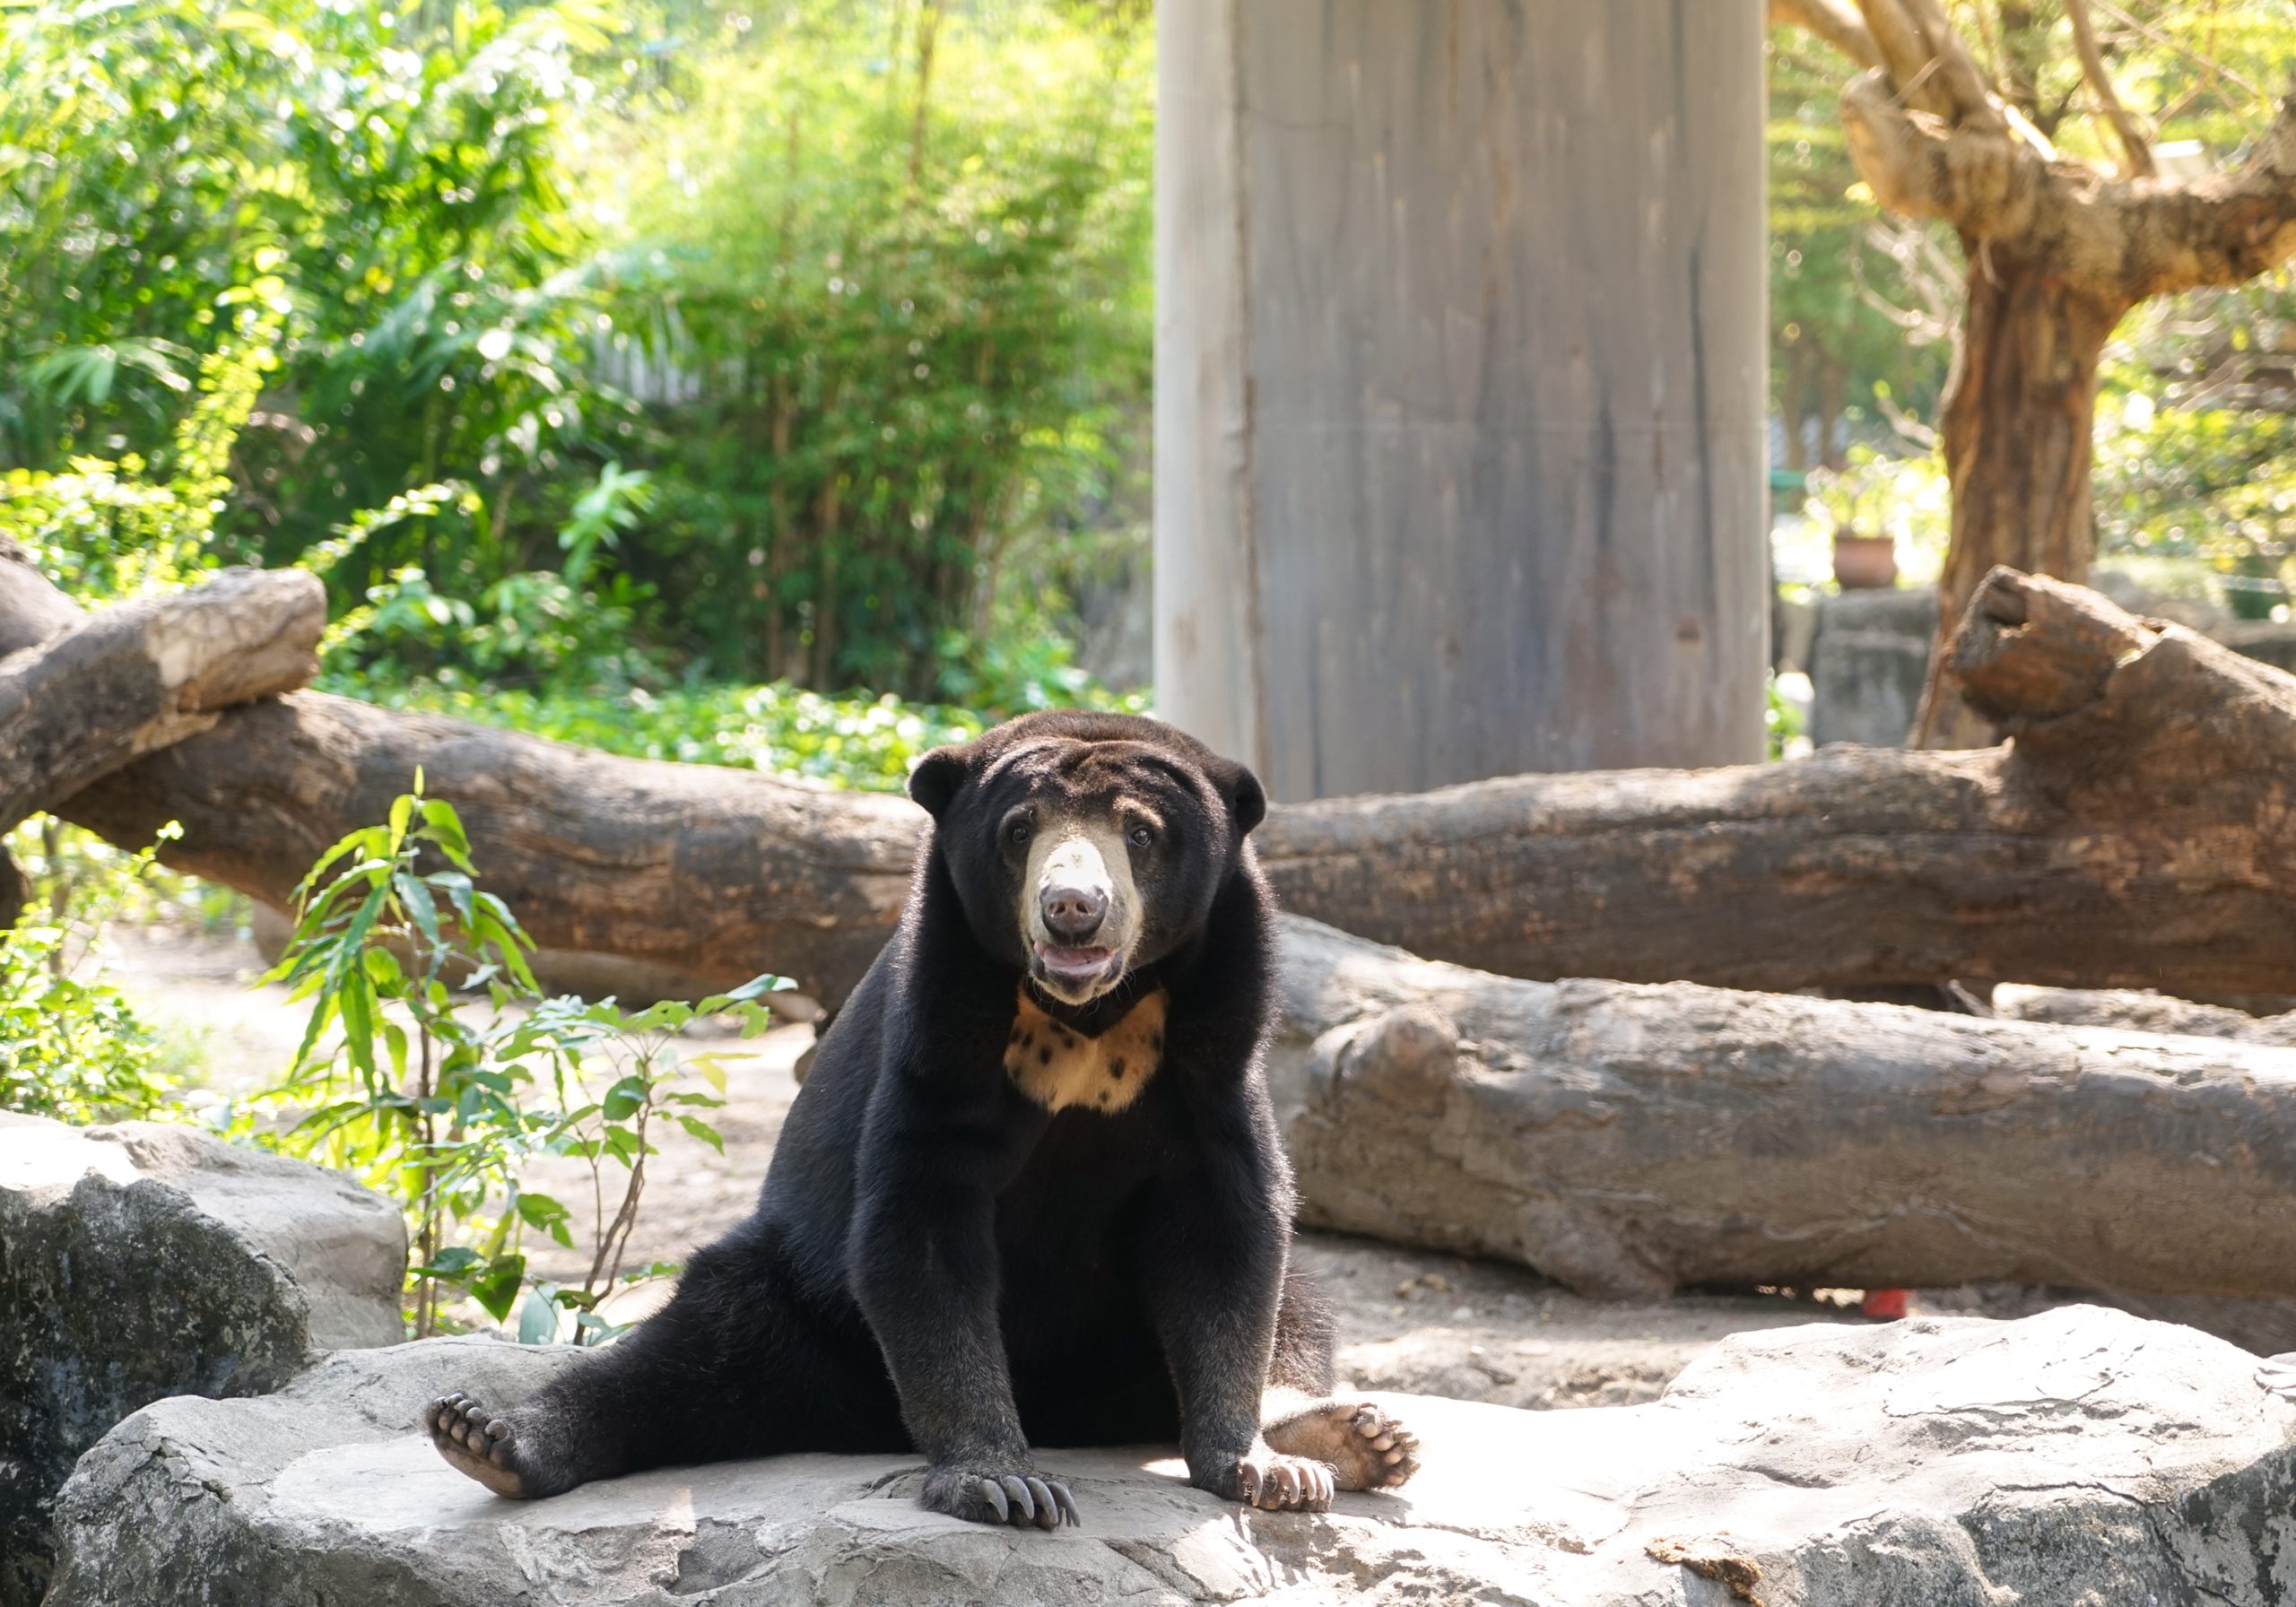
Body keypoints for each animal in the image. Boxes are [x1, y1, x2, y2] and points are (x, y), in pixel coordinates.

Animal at [425, 709, 1418, 1527]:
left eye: (1141, 833)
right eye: (1021, 830)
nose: (1072, 910)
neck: (1089, 1019)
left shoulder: (1215, 1053)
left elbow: (1227, 1242)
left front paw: (1255, 1467)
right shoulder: (940, 1035)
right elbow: (920, 1227)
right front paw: (1004, 1482)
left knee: (1301, 1306)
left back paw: (1351, 1441)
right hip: (799, 1298)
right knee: (692, 1356)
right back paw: (488, 1437)